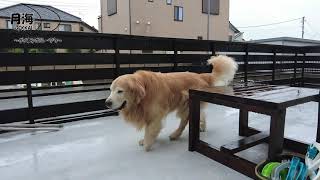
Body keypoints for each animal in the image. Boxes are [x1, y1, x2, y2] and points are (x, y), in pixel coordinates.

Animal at [105, 55, 238, 151]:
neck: (144, 91)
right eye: (111, 90)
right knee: (201, 114)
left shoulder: (155, 114)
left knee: (184, 122)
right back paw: (202, 127)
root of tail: (201, 76)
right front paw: (146, 140)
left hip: (186, 105)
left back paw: (175, 135)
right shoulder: (149, 113)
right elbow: (150, 129)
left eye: (120, 91)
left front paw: (147, 143)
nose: (107, 103)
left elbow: (150, 130)